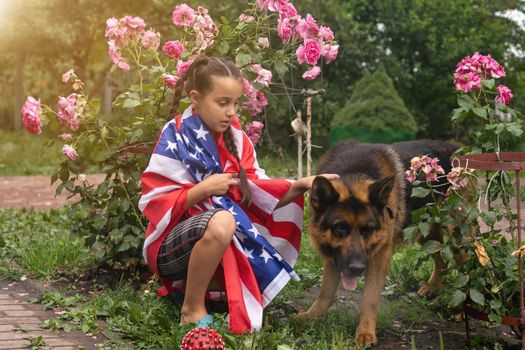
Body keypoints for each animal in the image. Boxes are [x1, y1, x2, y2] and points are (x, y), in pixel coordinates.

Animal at [296, 139, 456, 348]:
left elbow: (370, 299)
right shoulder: (334, 258)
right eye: (340, 227)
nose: (357, 269)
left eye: (368, 229)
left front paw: (365, 332)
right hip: (426, 234)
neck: (352, 174)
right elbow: (325, 291)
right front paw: (313, 315)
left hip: (455, 236)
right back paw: (433, 287)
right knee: (442, 260)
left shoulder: (379, 258)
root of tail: (458, 149)